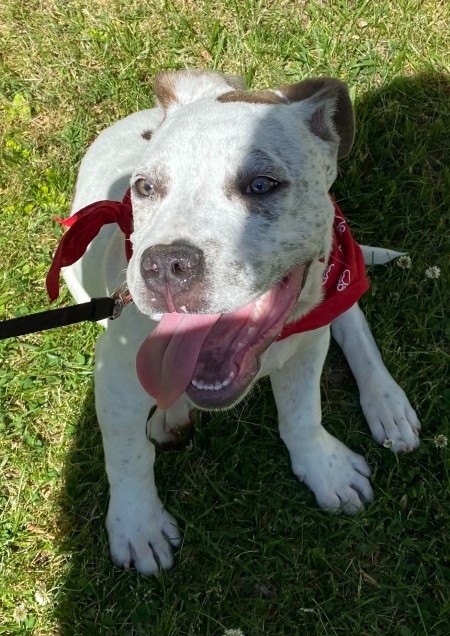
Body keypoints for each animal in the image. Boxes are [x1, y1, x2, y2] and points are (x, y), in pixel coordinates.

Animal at [47, 71, 420, 576]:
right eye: (144, 188)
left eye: (261, 184)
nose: (166, 265)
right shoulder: (118, 374)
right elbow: (127, 453)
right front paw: (138, 525)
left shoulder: (307, 345)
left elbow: (302, 414)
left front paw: (324, 468)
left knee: (351, 319)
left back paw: (386, 402)